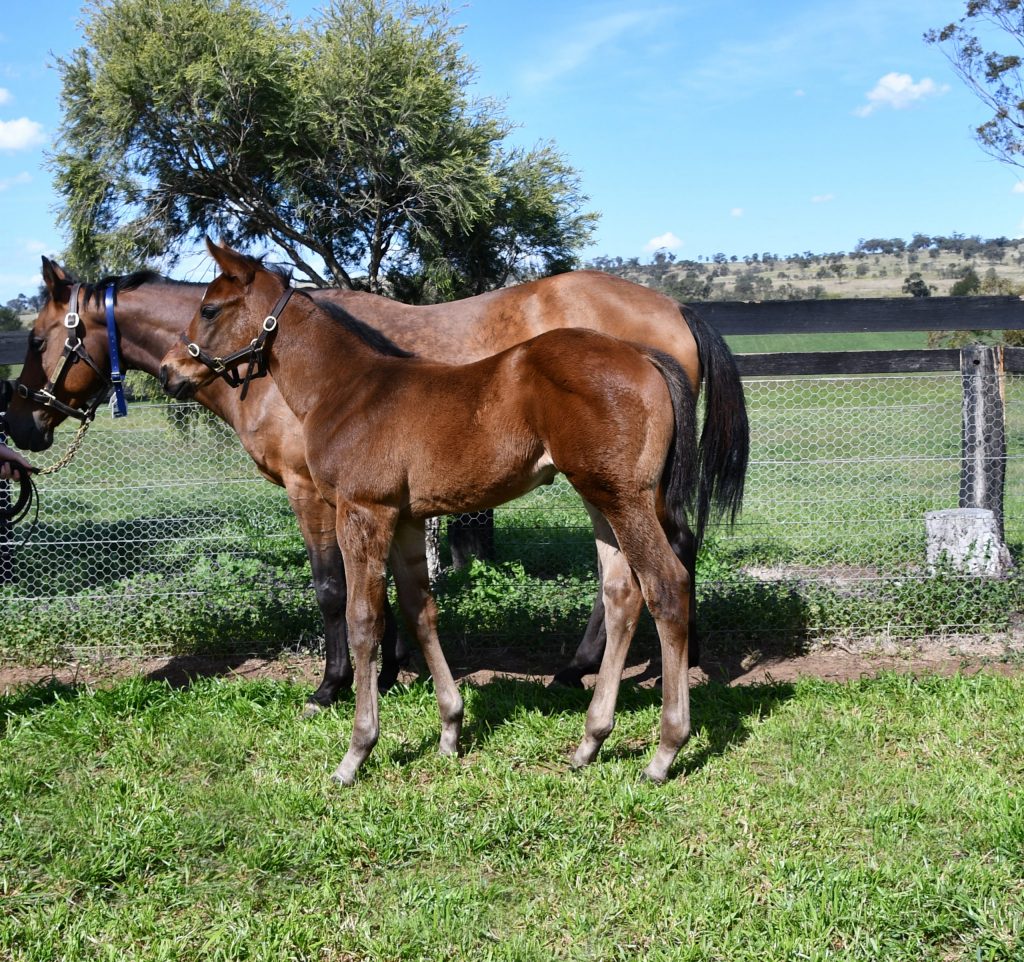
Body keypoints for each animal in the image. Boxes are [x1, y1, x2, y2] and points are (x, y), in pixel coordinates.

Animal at [5, 252, 746, 705]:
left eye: (37, 339)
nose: (18, 423)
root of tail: (674, 310)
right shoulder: (377, 500)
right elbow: (386, 587)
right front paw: (388, 670)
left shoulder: (313, 493)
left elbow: (333, 588)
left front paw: (334, 685)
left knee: (665, 558)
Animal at [160, 239, 705, 784]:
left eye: (209, 309)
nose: (169, 370)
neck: (346, 389)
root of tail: (644, 355)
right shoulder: (405, 518)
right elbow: (421, 611)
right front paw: (449, 730)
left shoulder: (363, 510)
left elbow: (363, 620)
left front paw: (356, 751)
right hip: (600, 498)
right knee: (621, 595)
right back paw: (590, 742)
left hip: (625, 497)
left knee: (666, 585)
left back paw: (665, 750)